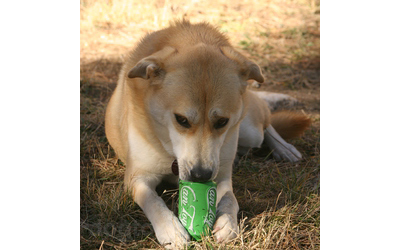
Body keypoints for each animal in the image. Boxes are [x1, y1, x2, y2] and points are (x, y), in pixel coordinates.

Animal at [104, 20, 310, 247]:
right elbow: (152, 200)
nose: (200, 175)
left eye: (222, 122)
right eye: (181, 119)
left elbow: (230, 198)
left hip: (251, 130)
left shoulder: (221, 174)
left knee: (267, 124)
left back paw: (285, 149)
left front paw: (228, 223)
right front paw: (171, 229)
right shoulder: (137, 176)